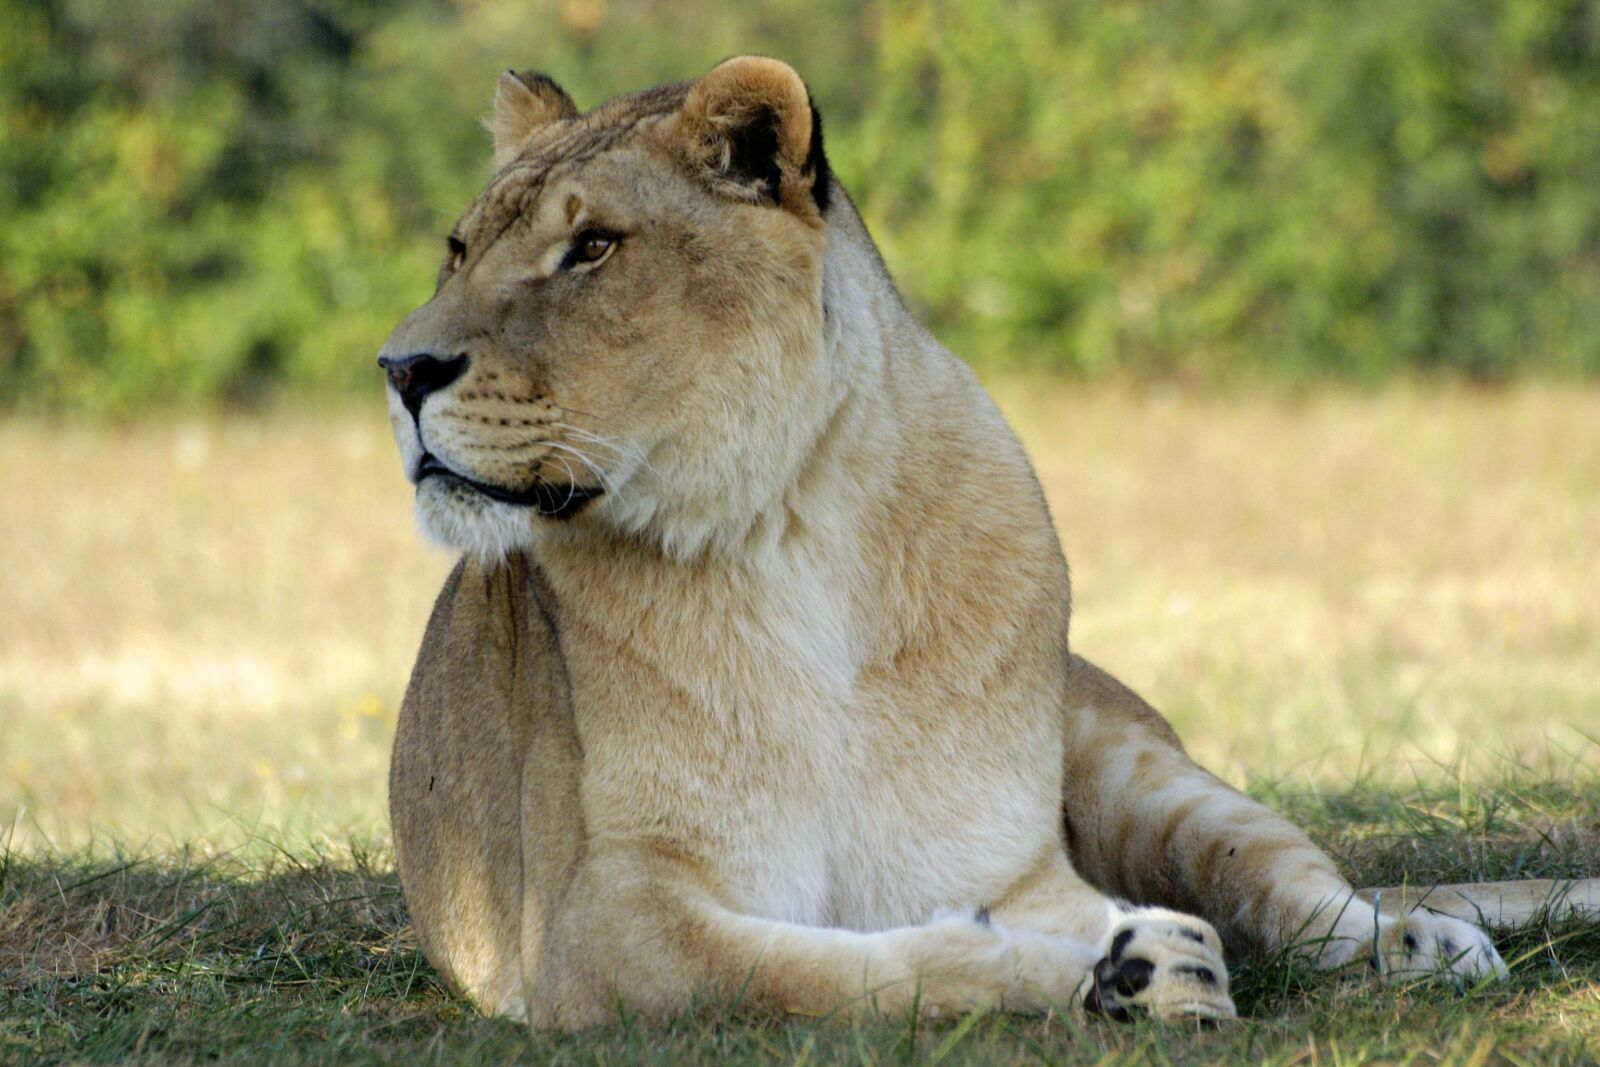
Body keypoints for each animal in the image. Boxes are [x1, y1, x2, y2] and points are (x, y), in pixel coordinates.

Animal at [379, 58, 1596, 1027]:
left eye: (591, 247)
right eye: (457, 248)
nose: (398, 369)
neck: (793, 526)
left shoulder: (1005, 864)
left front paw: (1132, 966)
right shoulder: (596, 917)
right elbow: (837, 966)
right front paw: (1130, 973)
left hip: (1144, 769)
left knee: (1304, 894)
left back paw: (1422, 941)